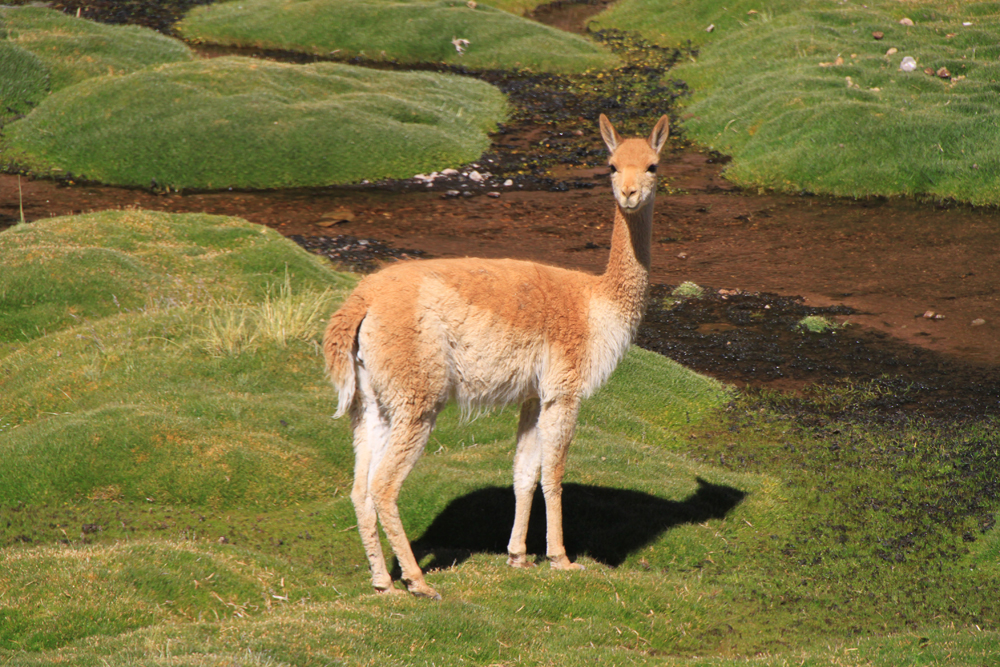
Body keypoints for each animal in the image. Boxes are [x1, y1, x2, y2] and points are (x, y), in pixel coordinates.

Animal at [322, 114, 669, 599]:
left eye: (652, 165)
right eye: (612, 166)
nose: (630, 194)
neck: (597, 303)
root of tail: (362, 300)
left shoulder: (533, 394)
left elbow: (524, 472)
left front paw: (518, 556)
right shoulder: (564, 390)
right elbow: (554, 474)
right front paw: (561, 559)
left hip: (371, 401)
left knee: (358, 487)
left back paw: (382, 581)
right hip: (417, 396)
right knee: (384, 486)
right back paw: (417, 582)